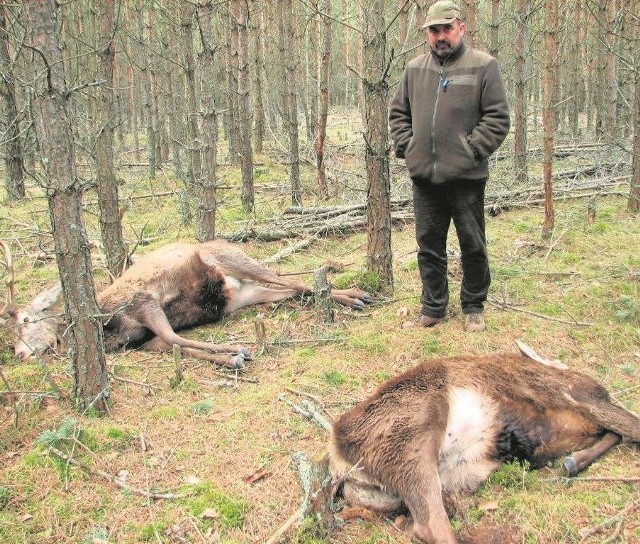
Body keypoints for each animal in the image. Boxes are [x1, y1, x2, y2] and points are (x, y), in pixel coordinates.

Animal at [1, 240, 370, 368]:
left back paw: (356, 295)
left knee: (292, 279)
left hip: (235, 259)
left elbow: (175, 337)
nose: (19, 354)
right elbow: (173, 344)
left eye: (26, 321)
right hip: (246, 296)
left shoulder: (143, 300)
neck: (108, 326)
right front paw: (230, 358)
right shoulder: (144, 341)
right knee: (293, 290)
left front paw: (237, 350)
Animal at [330, 350, 640, 540]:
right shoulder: (580, 396)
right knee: (430, 526)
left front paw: (572, 463)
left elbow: (616, 434)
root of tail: (338, 460)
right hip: (413, 434)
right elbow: (632, 426)